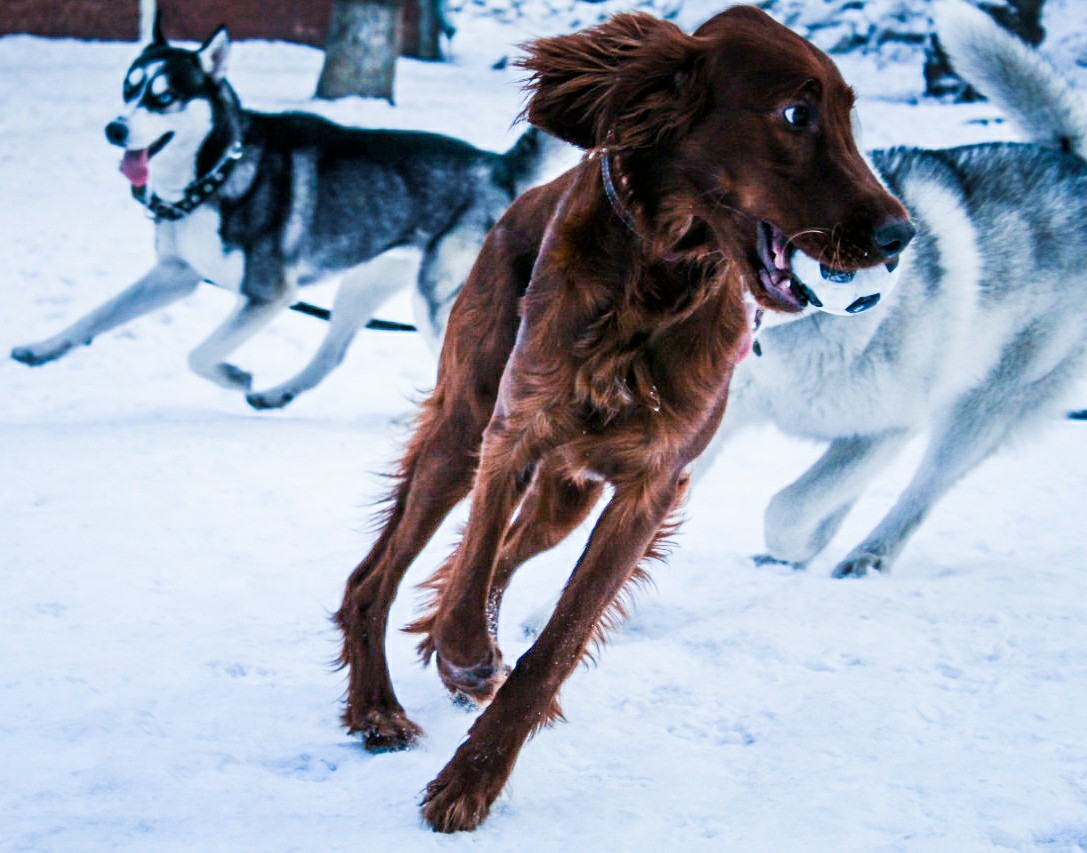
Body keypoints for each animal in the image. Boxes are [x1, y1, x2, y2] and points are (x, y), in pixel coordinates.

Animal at [334, 6, 913, 830]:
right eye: (796, 115)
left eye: (846, 116)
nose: (901, 237)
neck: (660, 275)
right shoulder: (514, 432)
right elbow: (470, 580)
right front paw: (464, 662)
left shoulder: (649, 486)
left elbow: (556, 640)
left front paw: (473, 775)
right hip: (461, 432)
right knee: (377, 575)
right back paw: (377, 707)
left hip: (568, 494)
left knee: (500, 559)